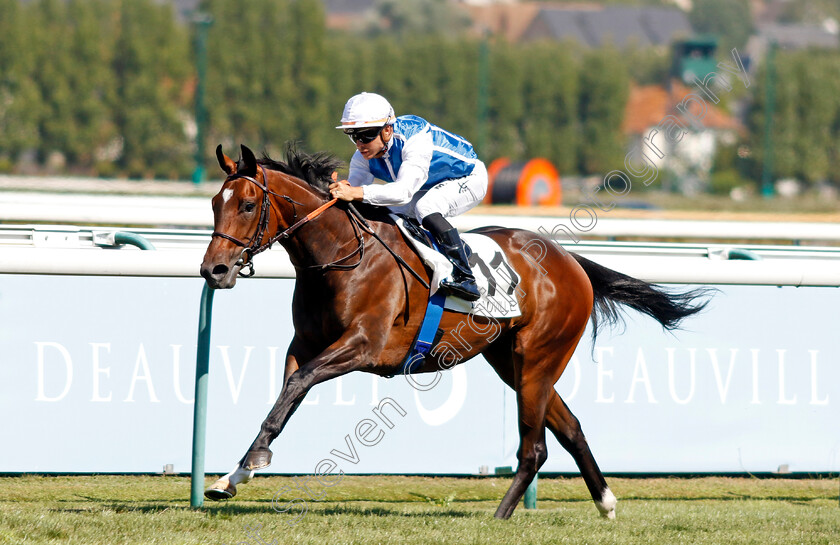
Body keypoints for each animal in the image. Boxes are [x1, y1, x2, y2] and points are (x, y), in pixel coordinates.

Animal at [200, 143, 712, 520]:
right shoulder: (305, 345)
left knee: (535, 447)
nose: (213, 270)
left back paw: (500, 517)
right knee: (570, 428)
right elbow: (285, 399)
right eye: (213, 204)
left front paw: (248, 466)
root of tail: (569, 259)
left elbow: (294, 389)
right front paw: (233, 475)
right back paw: (605, 503)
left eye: (248, 203)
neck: (342, 255)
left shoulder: (362, 346)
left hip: (538, 357)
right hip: (510, 360)